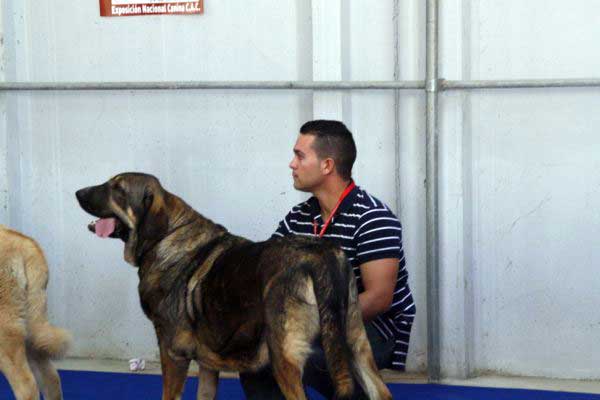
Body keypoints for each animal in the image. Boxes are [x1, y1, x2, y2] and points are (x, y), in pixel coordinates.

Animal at [75, 173, 392, 400]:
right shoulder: (207, 365)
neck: (165, 236)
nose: (78, 192)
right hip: (356, 345)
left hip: (285, 357)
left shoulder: (172, 353)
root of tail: (321, 256)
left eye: (117, 189)